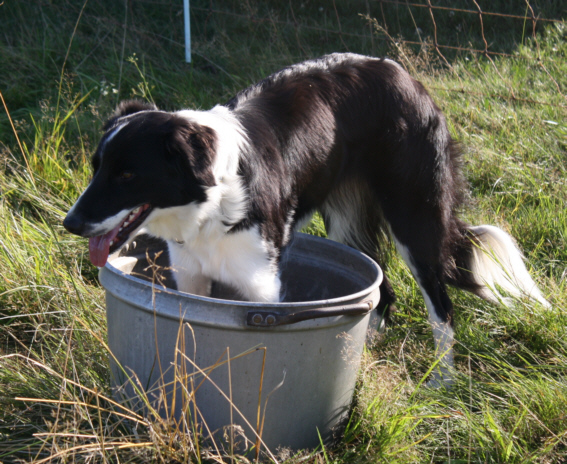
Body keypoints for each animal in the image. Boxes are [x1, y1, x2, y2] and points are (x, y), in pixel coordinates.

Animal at [64, 53, 549, 384]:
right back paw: (366, 350)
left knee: (442, 307)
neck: (208, 203)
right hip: (349, 227)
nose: (70, 223)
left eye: (127, 175)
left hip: (414, 219)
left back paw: (442, 381)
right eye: (97, 167)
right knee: (383, 287)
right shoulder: (190, 278)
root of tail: (404, 74)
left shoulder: (261, 286)